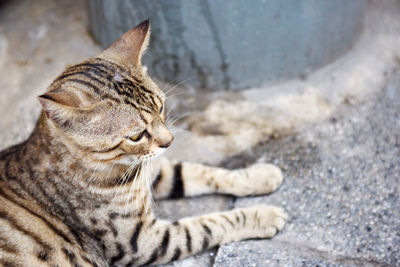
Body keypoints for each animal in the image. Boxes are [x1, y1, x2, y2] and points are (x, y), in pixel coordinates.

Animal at [0, 21, 288, 267]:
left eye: (161, 108)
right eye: (136, 136)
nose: (169, 141)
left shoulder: (150, 170)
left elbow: (198, 171)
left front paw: (258, 175)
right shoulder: (139, 241)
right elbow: (206, 226)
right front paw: (261, 215)